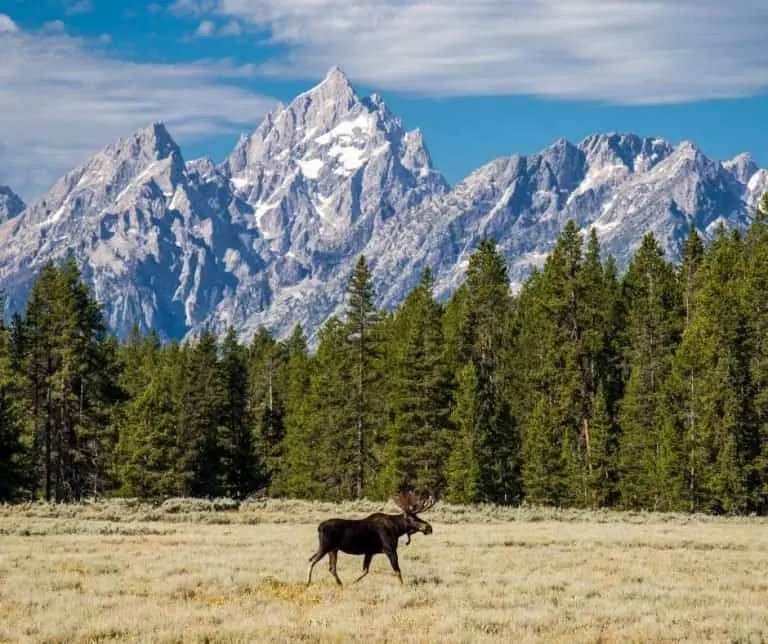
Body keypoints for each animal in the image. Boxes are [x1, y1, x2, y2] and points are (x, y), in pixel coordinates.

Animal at [306, 490, 438, 588]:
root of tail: (319, 527)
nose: (429, 528)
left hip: (333, 550)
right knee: (312, 561)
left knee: (331, 568)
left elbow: (365, 571)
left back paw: (340, 584)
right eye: (414, 518)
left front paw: (352, 583)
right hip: (325, 547)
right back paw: (308, 582)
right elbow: (397, 570)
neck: (397, 529)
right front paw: (402, 586)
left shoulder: (370, 552)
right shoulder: (390, 549)